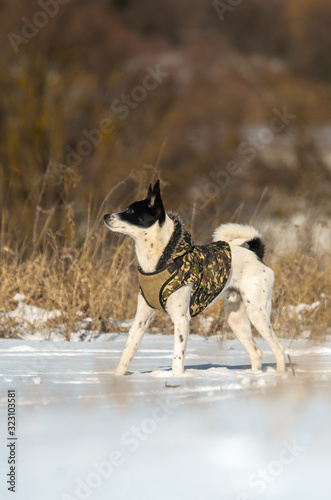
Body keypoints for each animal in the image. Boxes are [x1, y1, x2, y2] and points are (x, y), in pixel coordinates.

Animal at [104, 180, 286, 376]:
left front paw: (176, 380)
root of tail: (256, 255)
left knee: (278, 348)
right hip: (236, 318)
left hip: (257, 313)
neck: (162, 260)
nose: (106, 215)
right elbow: (127, 352)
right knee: (256, 353)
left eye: (131, 211)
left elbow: (177, 359)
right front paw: (117, 379)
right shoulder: (141, 318)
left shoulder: (181, 319)